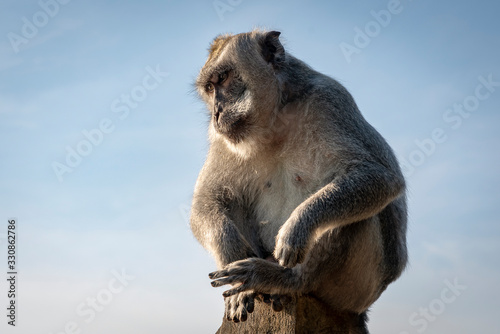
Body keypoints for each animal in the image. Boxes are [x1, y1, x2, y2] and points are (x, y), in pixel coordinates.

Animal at [189, 29, 408, 332]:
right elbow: (208, 199)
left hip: (358, 288)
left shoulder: (330, 100)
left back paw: (286, 280)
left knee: (355, 217)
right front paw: (230, 250)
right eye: (210, 88)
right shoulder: (222, 138)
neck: (275, 118)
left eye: (224, 78)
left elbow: (379, 176)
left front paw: (297, 228)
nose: (217, 113)